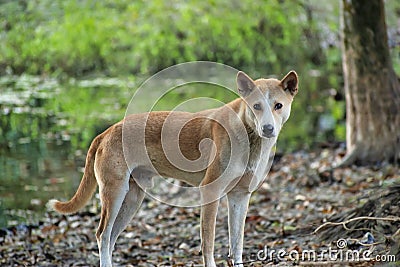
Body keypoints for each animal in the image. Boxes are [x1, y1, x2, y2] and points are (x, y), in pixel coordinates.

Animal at [47, 70, 296, 266]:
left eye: (278, 106)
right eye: (256, 106)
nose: (268, 129)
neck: (247, 134)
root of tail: (106, 132)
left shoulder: (240, 197)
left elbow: (237, 243)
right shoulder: (210, 192)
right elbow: (208, 243)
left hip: (132, 199)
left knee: (110, 239)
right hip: (114, 193)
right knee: (102, 235)